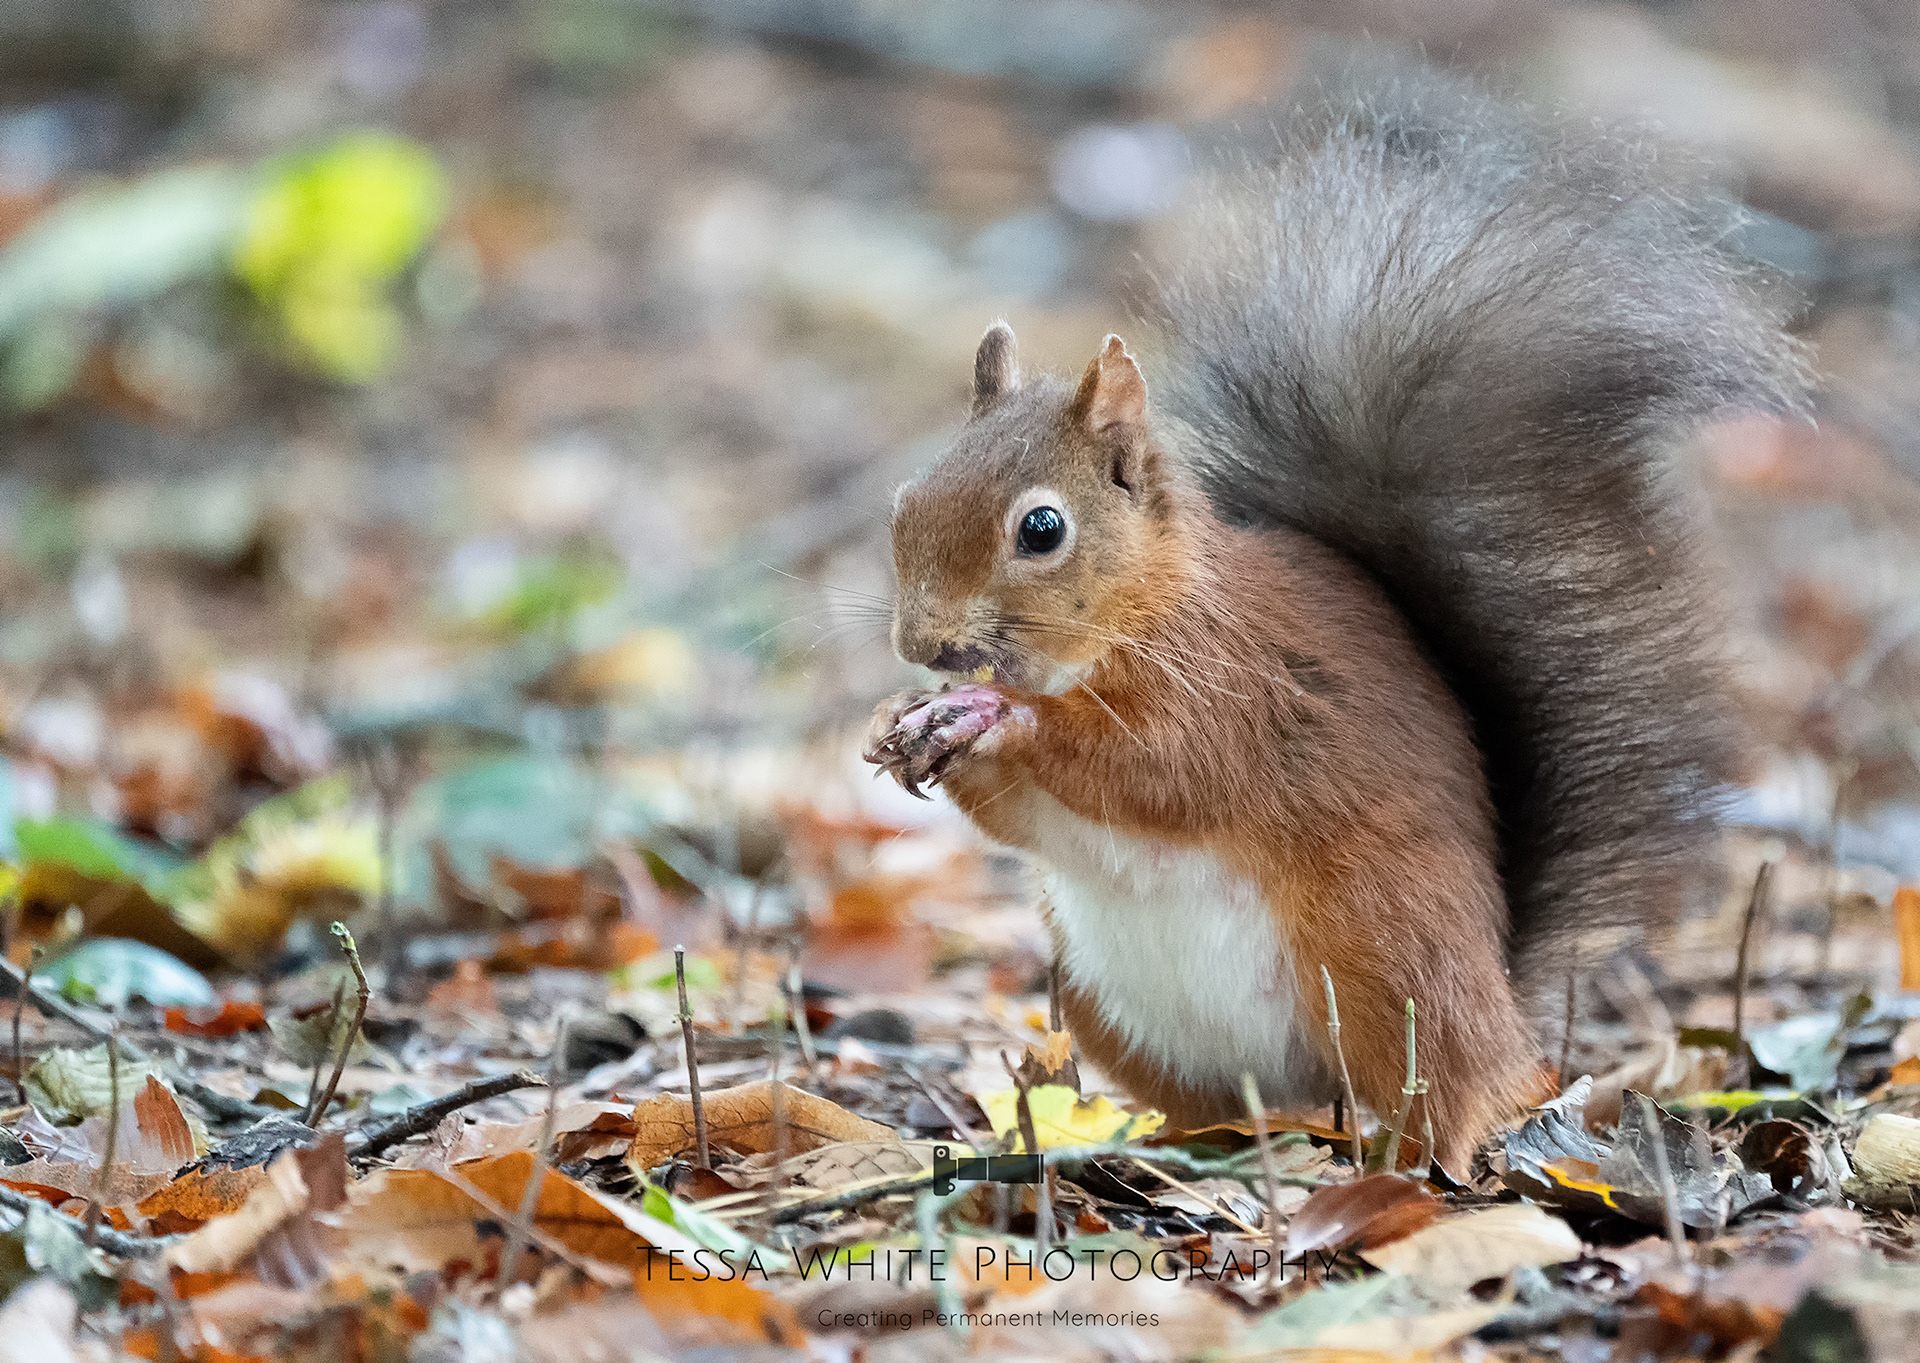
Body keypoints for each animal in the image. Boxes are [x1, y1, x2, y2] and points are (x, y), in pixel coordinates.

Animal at [863, 80, 1809, 1169]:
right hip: (1105, 999)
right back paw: (1175, 1147)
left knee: (1445, 1092)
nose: (923, 646)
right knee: (1223, 1106)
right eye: (905, 501)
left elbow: (1155, 769)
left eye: (1042, 529)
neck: (1131, 619)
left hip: (1390, 956)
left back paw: (1413, 1159)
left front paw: (992, 717)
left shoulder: (1233, 690)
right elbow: (1021, 818)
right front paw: (901, 722)